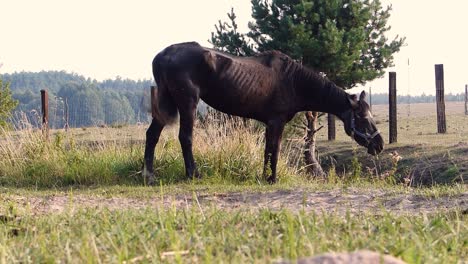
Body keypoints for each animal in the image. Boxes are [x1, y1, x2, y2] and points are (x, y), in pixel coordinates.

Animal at [144, 42, 384, 185]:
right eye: (363, 118)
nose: (379, 144)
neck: (294, 81)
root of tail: (163, 55)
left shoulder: (270, 123)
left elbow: (267, 150)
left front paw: (264, 176)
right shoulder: (277, 122)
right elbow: (274, 150)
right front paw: (272, 178)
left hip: (166, 106)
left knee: (152, 135)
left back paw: (149, 175)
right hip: (187, 104)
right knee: (185, 137)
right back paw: (193, 174)